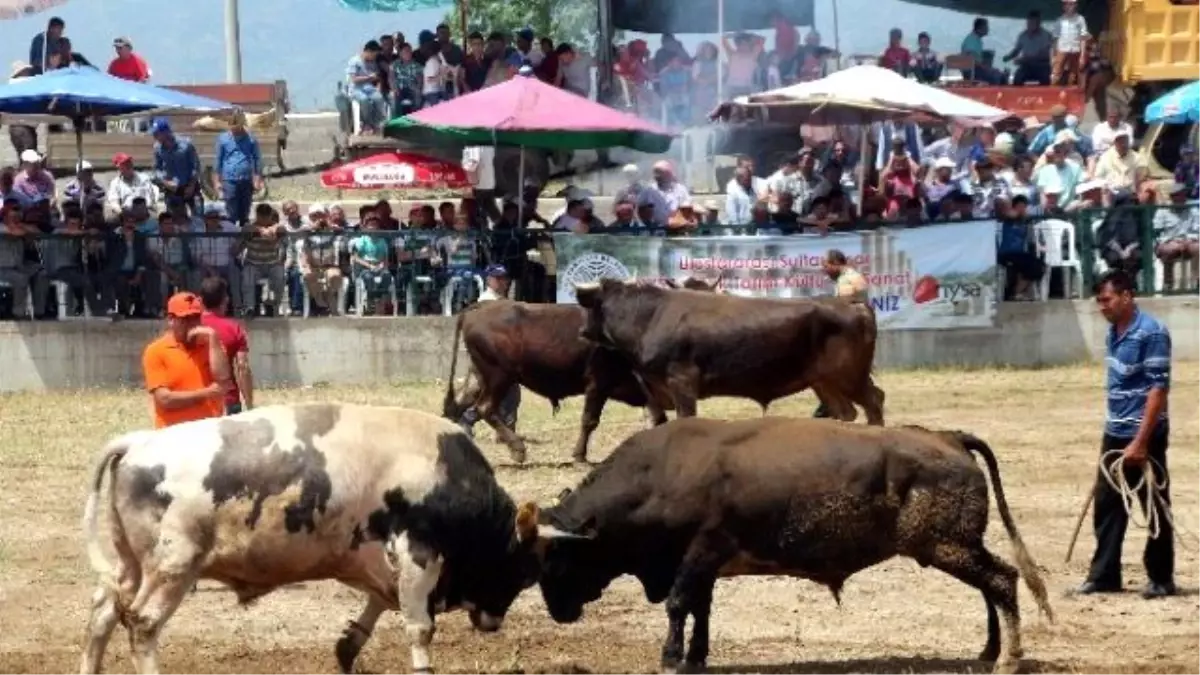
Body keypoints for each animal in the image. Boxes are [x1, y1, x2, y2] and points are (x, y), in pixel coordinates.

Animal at [77, 401, 542, 672]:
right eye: (521, 574)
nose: (493, 622)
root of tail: (139, 443)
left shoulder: (373, 557)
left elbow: (377, 605)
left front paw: (348, 647)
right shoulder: (418, 554)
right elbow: (419, 627)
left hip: (130, 566)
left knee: (102, 614)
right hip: (172, 568)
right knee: (142, 624)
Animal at [441, 273, 720, 461]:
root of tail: (480, 307)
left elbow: (659, 420)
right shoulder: (598, 383)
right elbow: (589, 420)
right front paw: (579, 455)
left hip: (482, 376)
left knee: (461, 407)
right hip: (499, 375)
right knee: (485, 408)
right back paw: (518, 449)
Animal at [571, 278, 883, 425]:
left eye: (590, 306)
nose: (581, 331)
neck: (650, 316)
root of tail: (851, 303)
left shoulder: (681, 382)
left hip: (849, 377)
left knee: (874, 402)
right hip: (824, 382)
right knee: (847, 412)